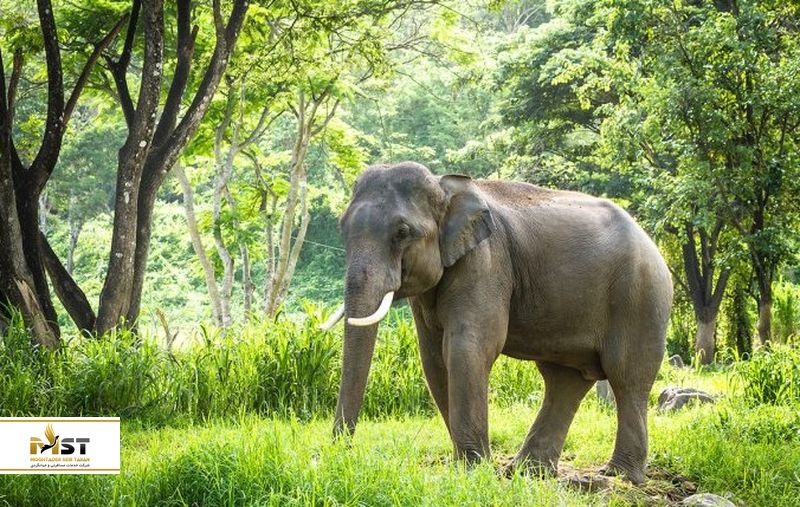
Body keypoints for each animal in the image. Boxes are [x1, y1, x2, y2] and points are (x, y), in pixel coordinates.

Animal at [320, 162, 673, 484]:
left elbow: (468, 347)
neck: (444, 185)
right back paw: (527, 472)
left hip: (640, 297)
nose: (342, 453)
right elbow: (433, 358)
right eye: (341, 227)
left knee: (626, 375)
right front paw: (471, 467)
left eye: (402, 232)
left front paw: (474, 470)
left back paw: (619, 476)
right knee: (565, 379)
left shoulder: (487, 261)